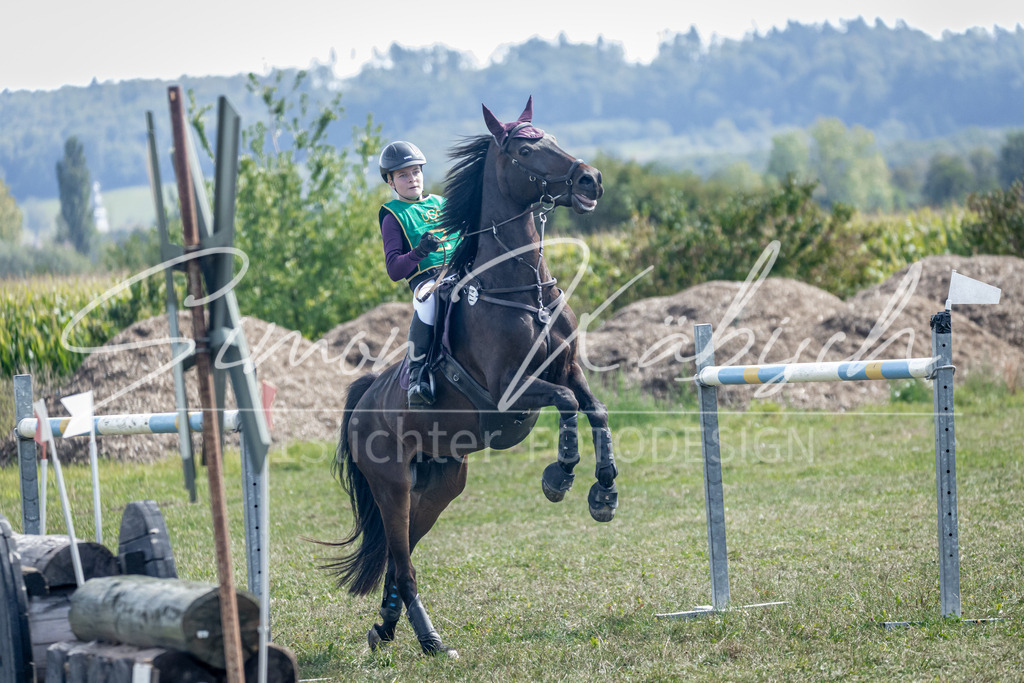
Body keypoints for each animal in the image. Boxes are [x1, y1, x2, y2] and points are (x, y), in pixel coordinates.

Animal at [324, 97, 618, 658]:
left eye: (550, 137)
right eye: (525, 150)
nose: (590, 180)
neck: (523, 292)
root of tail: (363, 401)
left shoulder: (568, 369)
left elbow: (594, 407)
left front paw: (604, 492)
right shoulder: (509, 391)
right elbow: (568, 404)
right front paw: (559, 477)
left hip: (441, 483)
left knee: (397, 557)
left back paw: (385, 627)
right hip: (392, 485)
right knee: (403, 563)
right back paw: (430, 640)